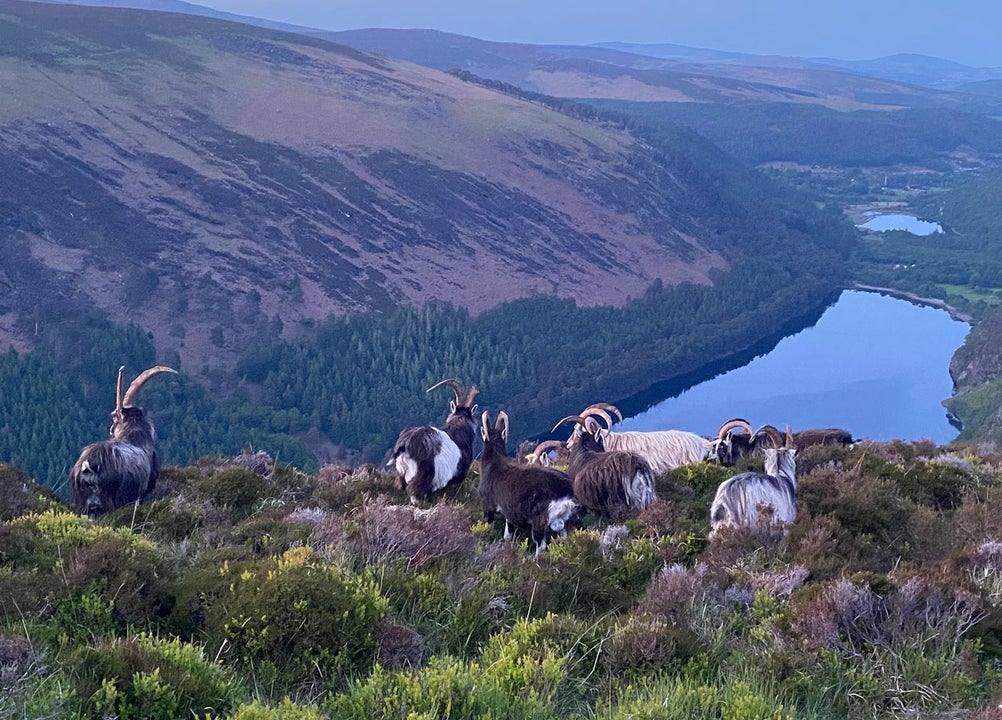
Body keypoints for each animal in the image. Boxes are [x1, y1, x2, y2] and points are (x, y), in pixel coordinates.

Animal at [70, 366, 178, 516]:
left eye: (114, 417)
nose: (111, 429)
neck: (133, 432)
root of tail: (89, 463)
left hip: (82, 502)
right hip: (110, 498)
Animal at [478, 410, 581, 556]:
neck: (494, 461)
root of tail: (566, 491)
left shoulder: (487, 504)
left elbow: (490, 524)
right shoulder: (509, 511)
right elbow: (508, 533)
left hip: (540, 518)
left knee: (541, 544)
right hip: (562, 517)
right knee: (563, 534)